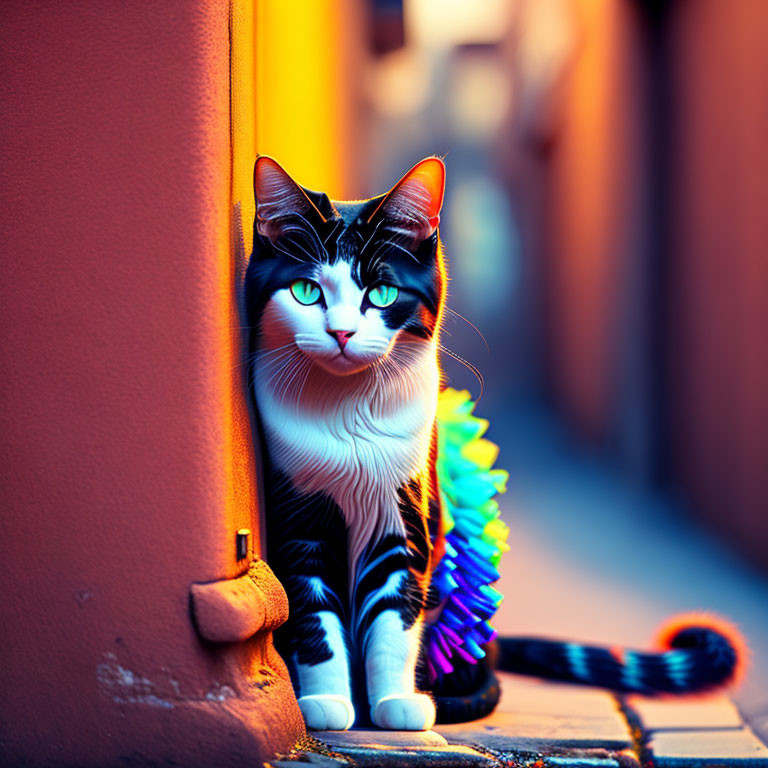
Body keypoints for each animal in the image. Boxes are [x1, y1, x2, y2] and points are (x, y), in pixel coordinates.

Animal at [244, 154, 744, 732]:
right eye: (306, 292)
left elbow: (395, 614)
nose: (342, 333)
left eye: (381, 294)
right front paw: (327, 703)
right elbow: (313, 612)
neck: (348, 419)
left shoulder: (406, 512)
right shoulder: (299, 516)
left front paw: (395, 706)